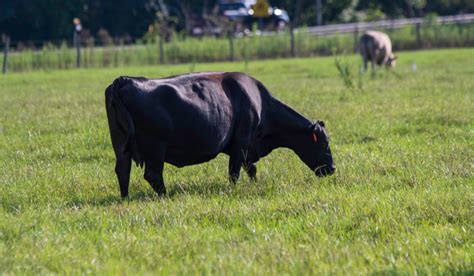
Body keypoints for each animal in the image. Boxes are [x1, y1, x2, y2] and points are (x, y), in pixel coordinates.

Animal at [104, 71, 334, 196]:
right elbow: (235, 172)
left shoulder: (246, 147)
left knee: (122, 171)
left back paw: (125, 198)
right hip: (155, 148)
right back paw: (165, 196)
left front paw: (254, 184)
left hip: (120, 145)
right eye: (323, 143)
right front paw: (234, 189)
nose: (332, 169)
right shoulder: (242, 141)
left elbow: (251, 169)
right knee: (153, 175)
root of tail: (124, 80)